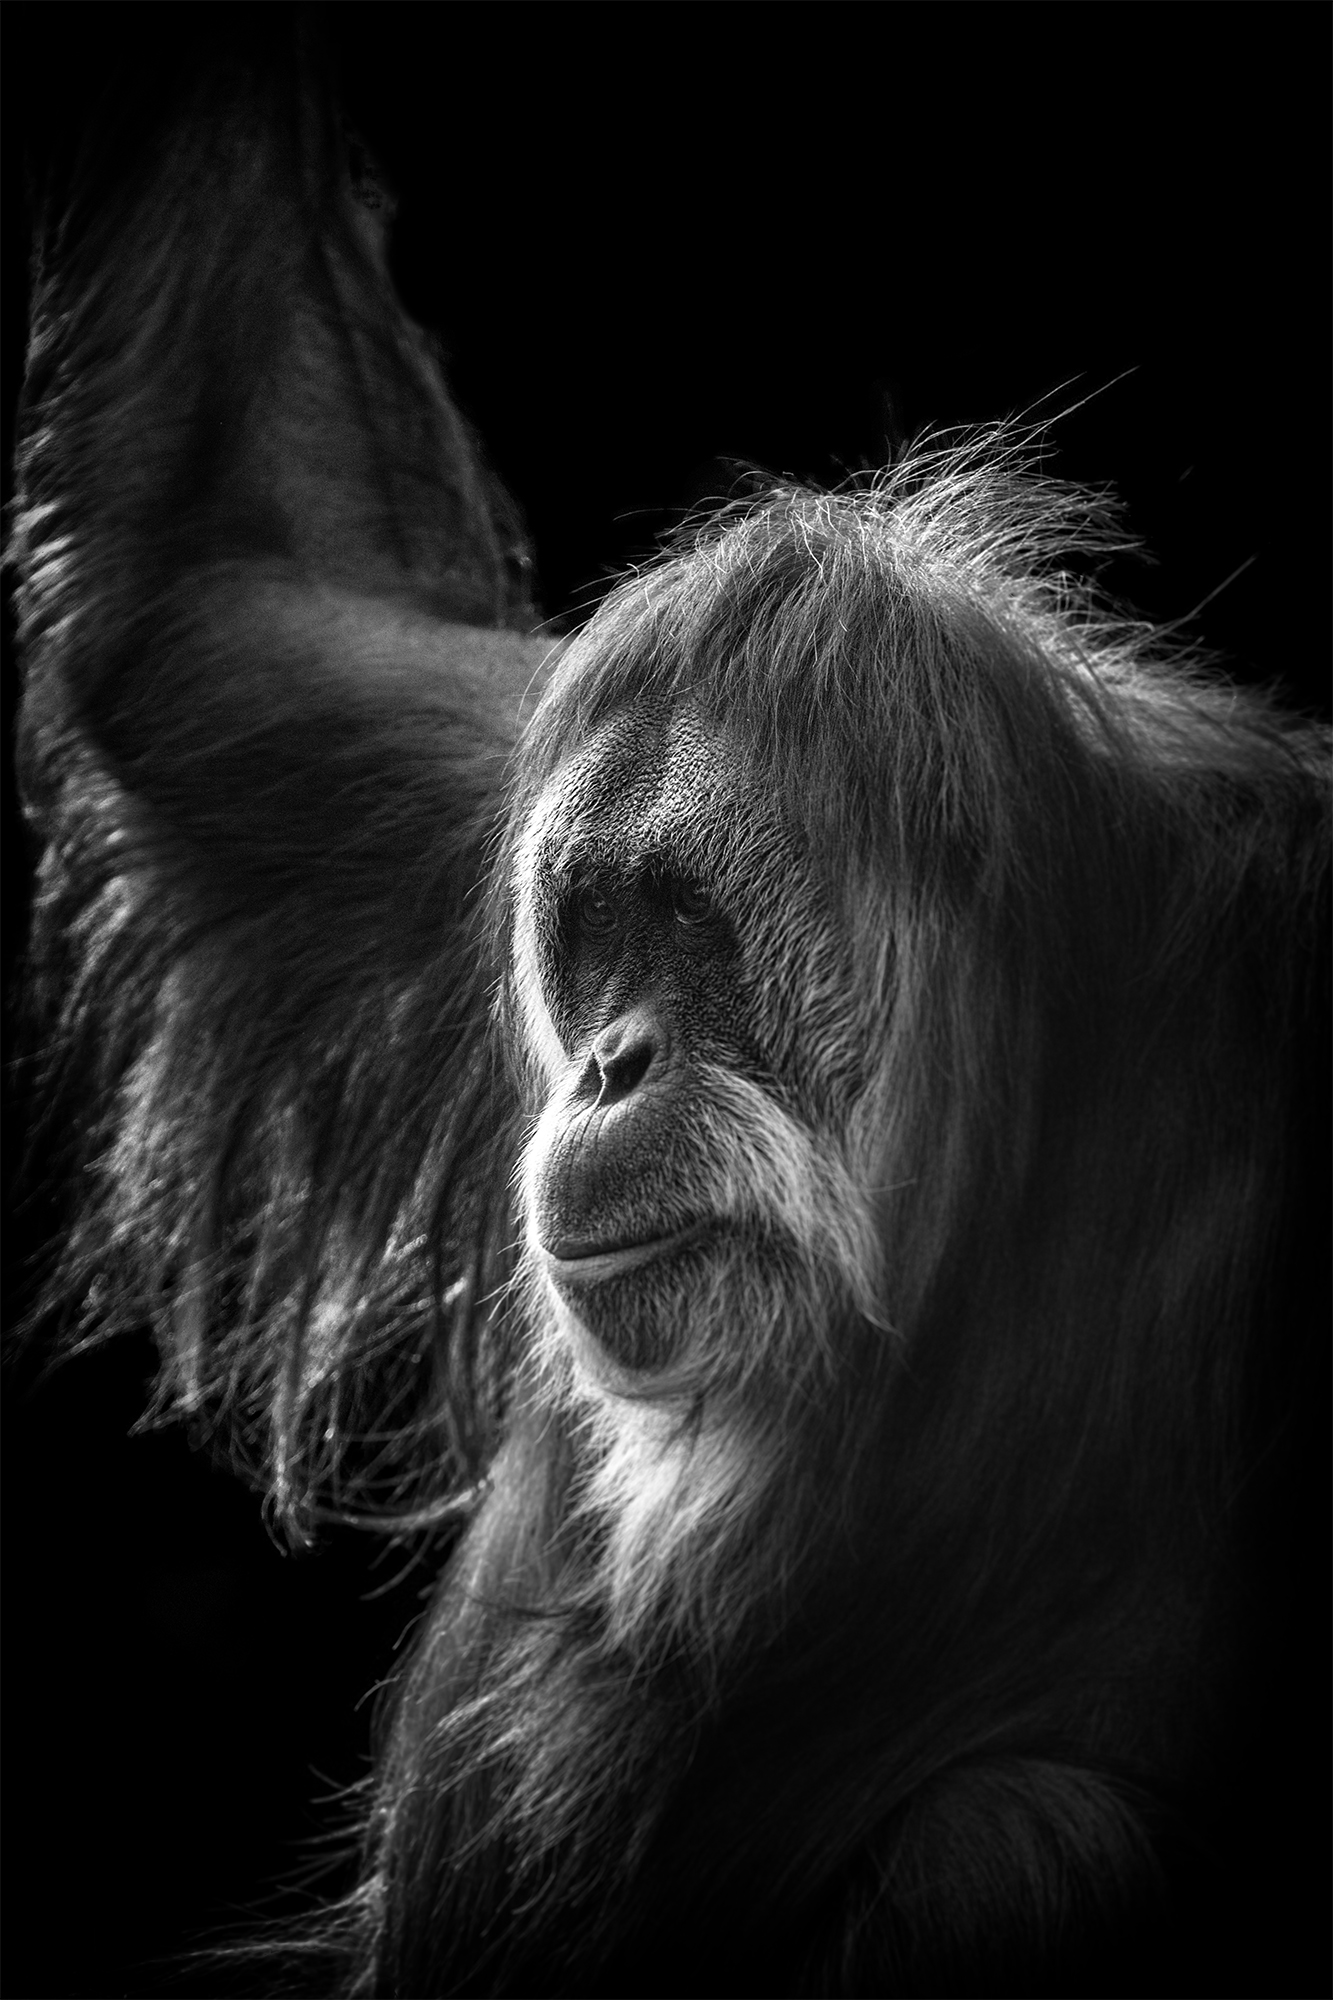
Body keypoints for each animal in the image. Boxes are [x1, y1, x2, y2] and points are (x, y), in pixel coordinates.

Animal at [9, 16, 1328, 1998]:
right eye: (602, 935)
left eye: (689, 928)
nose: (613, 1062)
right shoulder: (484, 780)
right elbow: (209, 590)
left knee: (1011, 1843)